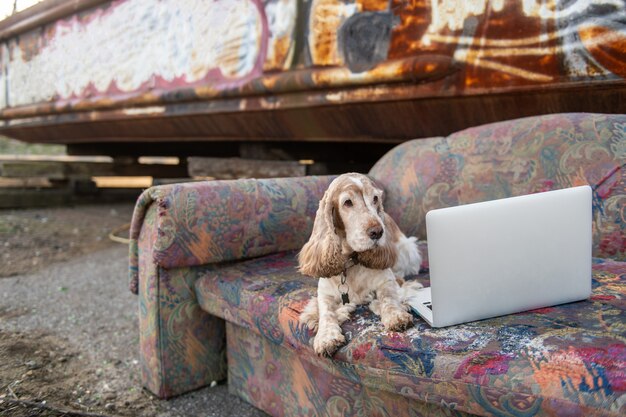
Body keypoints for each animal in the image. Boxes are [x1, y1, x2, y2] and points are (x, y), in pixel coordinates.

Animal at [296, 171, 420, 354]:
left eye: (375, 198)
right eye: (347, 202)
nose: (378, 232)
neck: (351, 262)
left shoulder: (388, 280)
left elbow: (389, 298)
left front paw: (395, 315)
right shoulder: (324, 292)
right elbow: (326, 312)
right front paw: (326, 336)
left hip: (407, 250)